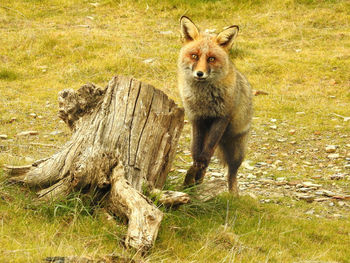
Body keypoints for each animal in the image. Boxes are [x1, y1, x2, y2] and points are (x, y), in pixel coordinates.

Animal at [178, 15, 252, 195]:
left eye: (211, 58)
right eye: (194, 56)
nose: (200, 73)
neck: (203, 98)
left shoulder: (222, 117)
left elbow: (207, 152)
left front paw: (200, 165)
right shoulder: (196, 118)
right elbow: (197, 151)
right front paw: (196, 171)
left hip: (237, 152)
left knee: (232, 174)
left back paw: (233, 196)